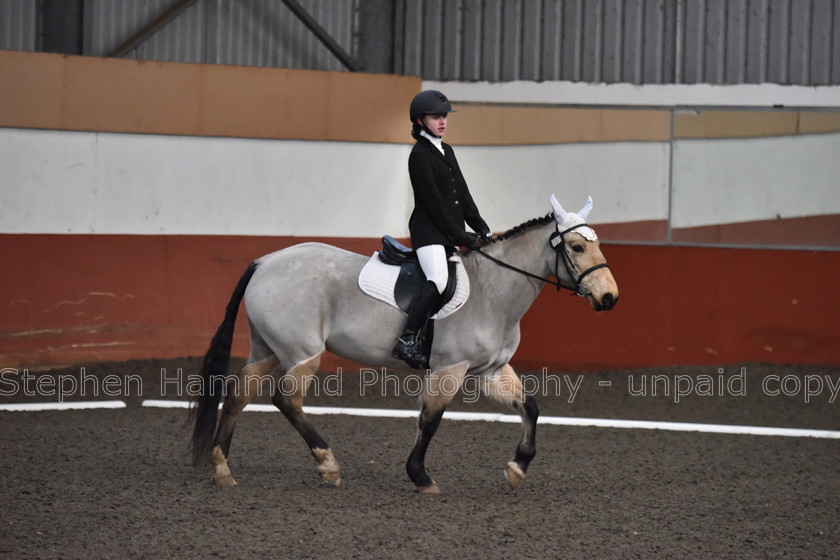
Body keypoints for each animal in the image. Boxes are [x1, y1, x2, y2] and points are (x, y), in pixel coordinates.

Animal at [190, 195, 616, 492]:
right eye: (576, 247)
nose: (609, 298)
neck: (493, 292)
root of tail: (265, 261)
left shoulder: (491, 371)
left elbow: (530, 406)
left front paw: (517, 468)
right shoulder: (449, 368)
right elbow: (430, 421)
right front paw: (420, 477)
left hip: (269, 349)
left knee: (240, 392)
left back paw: (222, 469)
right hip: (301, 352)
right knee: (286, 399)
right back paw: (328, 464)